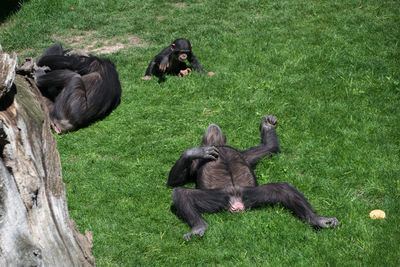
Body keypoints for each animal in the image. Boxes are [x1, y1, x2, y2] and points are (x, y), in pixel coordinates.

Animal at [167, 114, 340, 241]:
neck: (219, 146)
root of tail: (237, 202)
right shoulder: (243, 155)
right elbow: (174, 182)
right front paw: (193, 151)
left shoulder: (245, 154)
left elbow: (269, 147)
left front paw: (268, 125)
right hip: (223, 197)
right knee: (181, 193)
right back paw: (198, 226)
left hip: (251, 194)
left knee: (283, 188)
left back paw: (316, 219)